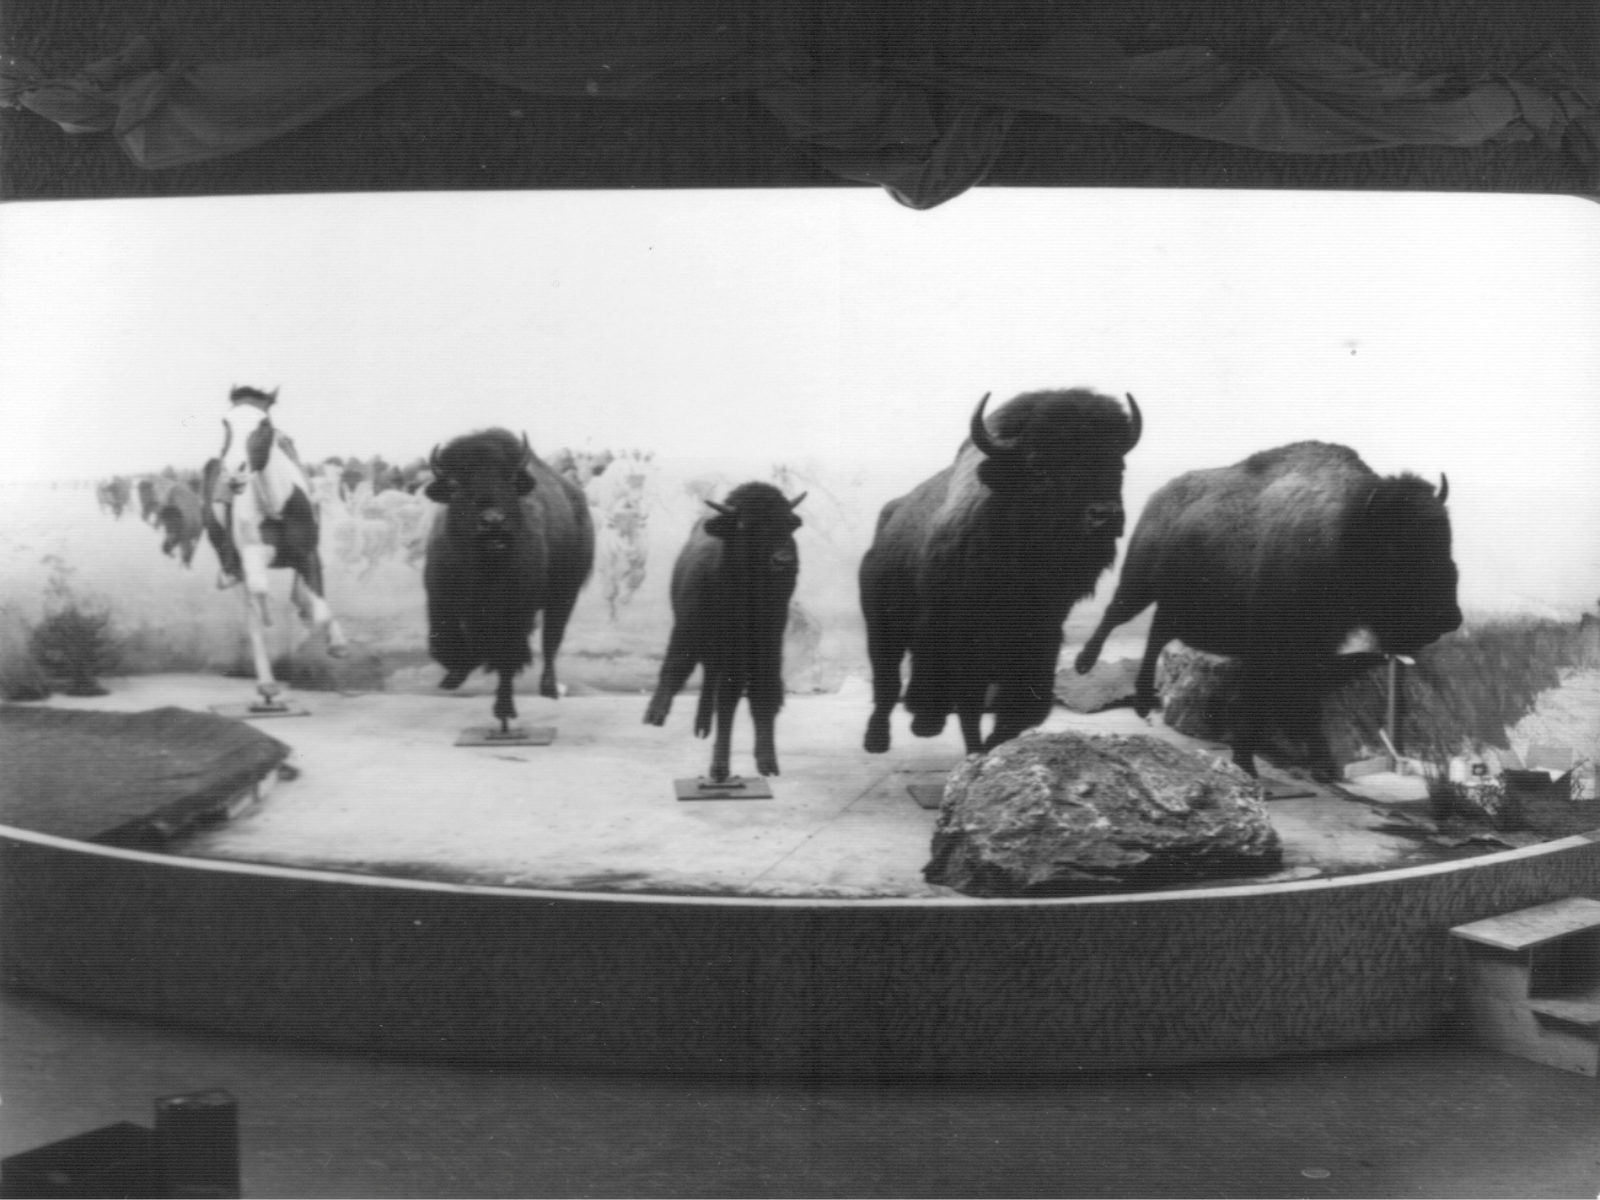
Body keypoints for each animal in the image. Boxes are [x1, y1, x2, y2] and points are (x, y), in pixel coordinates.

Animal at [422, 432, 598, 732]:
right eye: (455, 484)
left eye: (511, 479)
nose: (493, 521)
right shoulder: (440, 600)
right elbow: (445, 644)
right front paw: (455, 676)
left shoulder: (514, 615)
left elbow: (506, 658)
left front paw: (504, 710)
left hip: (564, 596)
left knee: (551, 641)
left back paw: (549, 688)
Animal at [643, 483, 806, 784]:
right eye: (744, 524)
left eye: (789, 522)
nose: (783, 561)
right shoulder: (696, 635)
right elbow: (721, 694)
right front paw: (719, 768)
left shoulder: (766, 649)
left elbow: (763, 695)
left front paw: (767, 762)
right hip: (696, 638)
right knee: (688, 670)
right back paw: (667, 717)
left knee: (711, 678)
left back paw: (702, 726)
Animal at [857, 390, 1145, 755]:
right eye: (1038, 464)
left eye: (1117, 463)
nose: (1105, 515)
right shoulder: (958, 637)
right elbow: (966, 704)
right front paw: (955, 739)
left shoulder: (1040, 637)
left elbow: (1021, 708)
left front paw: (989, 748)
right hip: (882, 625)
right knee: (888, 680)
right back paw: (879, 739)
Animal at [1075, 441, 1465, 780]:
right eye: (1400, 547)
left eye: (1446, 540)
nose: (1450, 617)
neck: (1346, 531)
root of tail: (1160, 496)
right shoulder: (1264, 644)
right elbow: (1256, 699)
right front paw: (1246, 764)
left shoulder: (1316, 648)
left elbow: (1308, 703)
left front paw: (1323, 765)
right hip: (1139, 584)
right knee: (1115, 615)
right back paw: (1085, 665)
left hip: (1176, 605)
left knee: (1156, 633)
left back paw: (1142, 701)